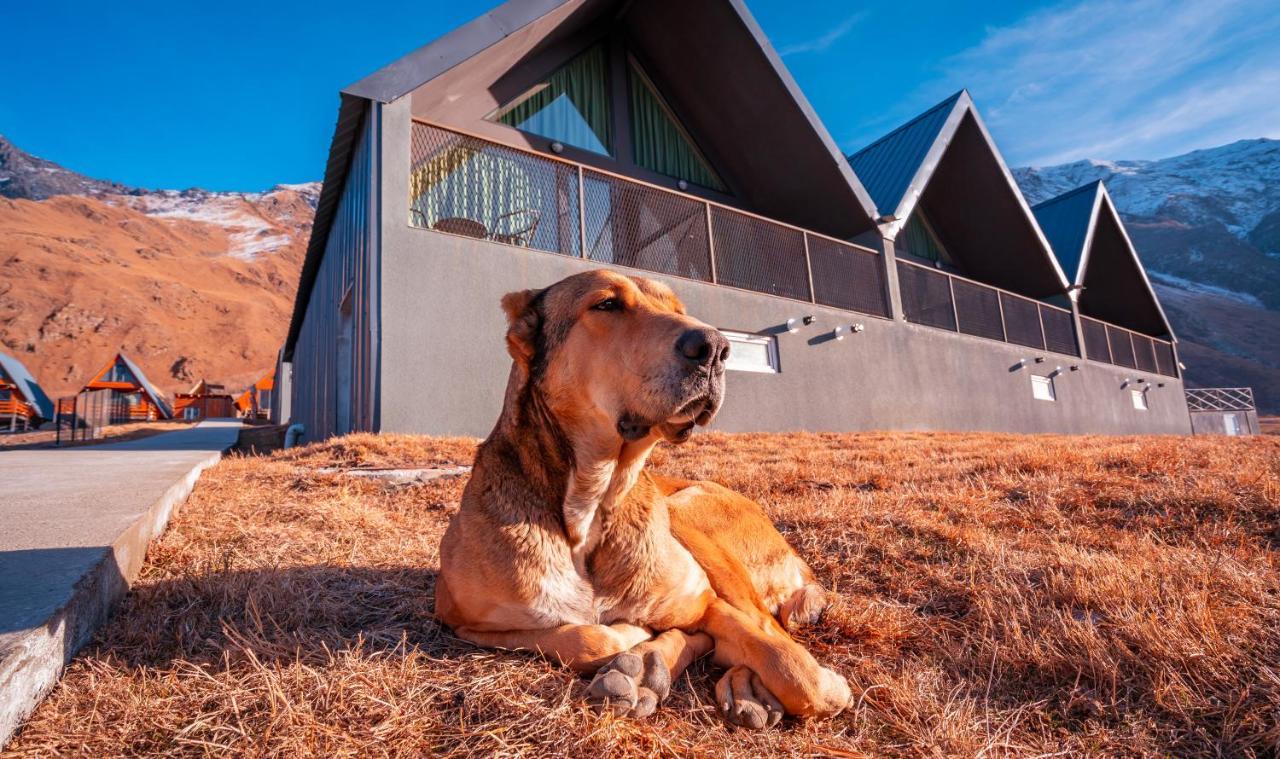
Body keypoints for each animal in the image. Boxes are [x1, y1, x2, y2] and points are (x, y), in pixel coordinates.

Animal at [437, 268, 849, 727]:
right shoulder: (460, 618)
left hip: (689, 514)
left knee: (765, 624)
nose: (716, 348)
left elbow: (795, 670)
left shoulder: (704, 599)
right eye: (607, 304)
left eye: (679, 309)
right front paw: (635, 645)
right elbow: (589, 637)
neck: (593, 503)